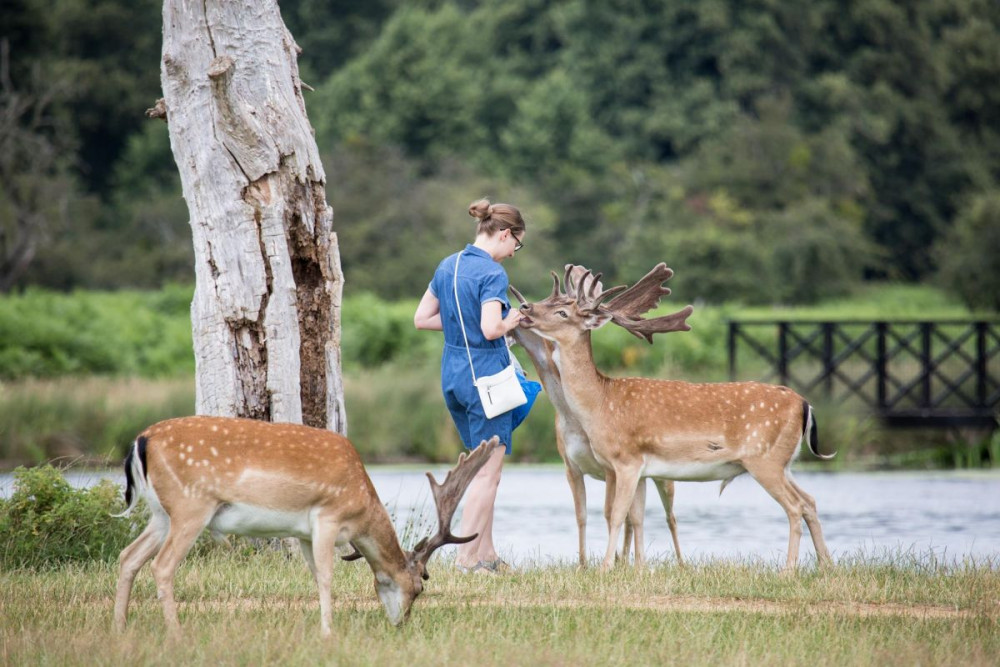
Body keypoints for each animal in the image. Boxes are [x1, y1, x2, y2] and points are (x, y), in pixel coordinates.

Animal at [114, 418, 500, 636]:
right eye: (420, 588)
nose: (401, 624)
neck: (361, 504)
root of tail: (140, 441)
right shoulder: (328, 516)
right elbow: (328, 576)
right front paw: (329, 633)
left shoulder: (301, 533)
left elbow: (314, 576)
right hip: (191, 506)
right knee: (162, 565)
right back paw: (176, 634)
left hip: (161, 514)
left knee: (128, 556)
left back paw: (121, 630)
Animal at [516, 266, 836, 576]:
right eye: (548, 301)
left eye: (562, 312)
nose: (524, 307)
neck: (601, 403)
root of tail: (804, 404)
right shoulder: (640, 468)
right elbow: (636, 516)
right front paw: (638, 569)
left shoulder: (625, 460)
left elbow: (617, 515)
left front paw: (605, 568)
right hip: (785, 461)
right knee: (810, 501)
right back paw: (825, 565)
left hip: (764, 458)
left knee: (794, 506)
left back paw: (788, 570)